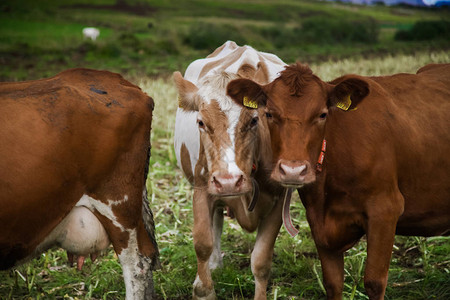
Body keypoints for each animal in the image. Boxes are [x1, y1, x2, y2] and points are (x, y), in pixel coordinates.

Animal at [174, 41, 286, 298]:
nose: (228, 180)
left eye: (254, 120)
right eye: (201, 122)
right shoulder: (202, 187)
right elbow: (202, 243)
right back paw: (215, 263)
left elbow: (261, 260)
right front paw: (203, 287)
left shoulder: (280, 197)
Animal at [229, 63, 450, 300]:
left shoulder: (385, 211)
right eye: (269, 113)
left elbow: (374, 282)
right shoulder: (318, 222)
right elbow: (333, 283)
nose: (292, 171)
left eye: (322, 114)